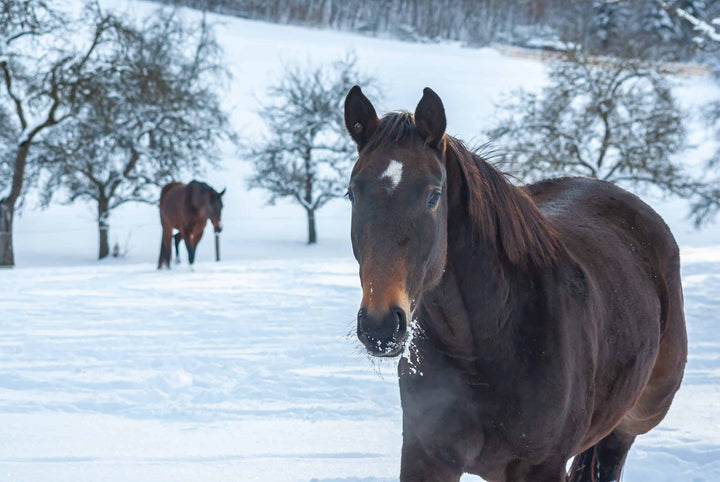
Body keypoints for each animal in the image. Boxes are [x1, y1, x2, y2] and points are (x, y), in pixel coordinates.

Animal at [343, 86, 687, 482]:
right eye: (352, 194)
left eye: (433, 196)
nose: (380, 326)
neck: (491, 341)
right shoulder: (425, 457)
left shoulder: (542, 466)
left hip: (628, 423)